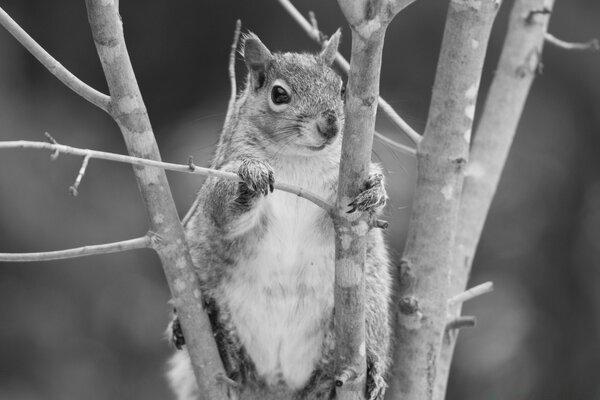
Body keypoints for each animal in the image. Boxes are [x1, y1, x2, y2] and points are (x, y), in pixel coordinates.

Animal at [166, 30, 392, 400]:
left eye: (342, 89)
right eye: (279, 94)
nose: (330, 125)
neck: (298, 158)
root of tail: (276, 387)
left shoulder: (336, 204)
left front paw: (375, 187)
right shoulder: (225, 168)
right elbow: (221, 210)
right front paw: (251, 175)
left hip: (370, 308)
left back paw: (368, 370)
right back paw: (217, 339)